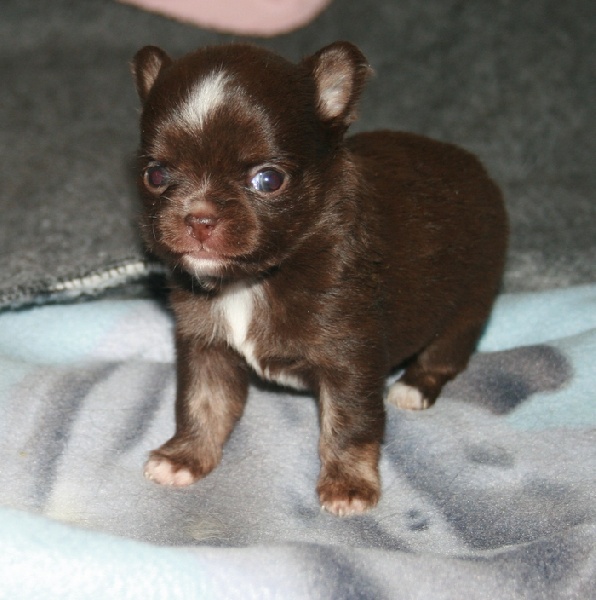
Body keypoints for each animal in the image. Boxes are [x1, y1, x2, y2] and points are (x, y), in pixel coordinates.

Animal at [131, 41, 508, 516]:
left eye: (268, 179)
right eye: (155, 175)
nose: (199, 218)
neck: (252, 279)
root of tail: (476, 170)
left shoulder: (349, 358)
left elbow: (350, 423)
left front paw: (349, 484)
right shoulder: (206, 345)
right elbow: (202, 404)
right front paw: (185, 457)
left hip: (472, 300)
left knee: (446, 355)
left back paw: (413, 387)